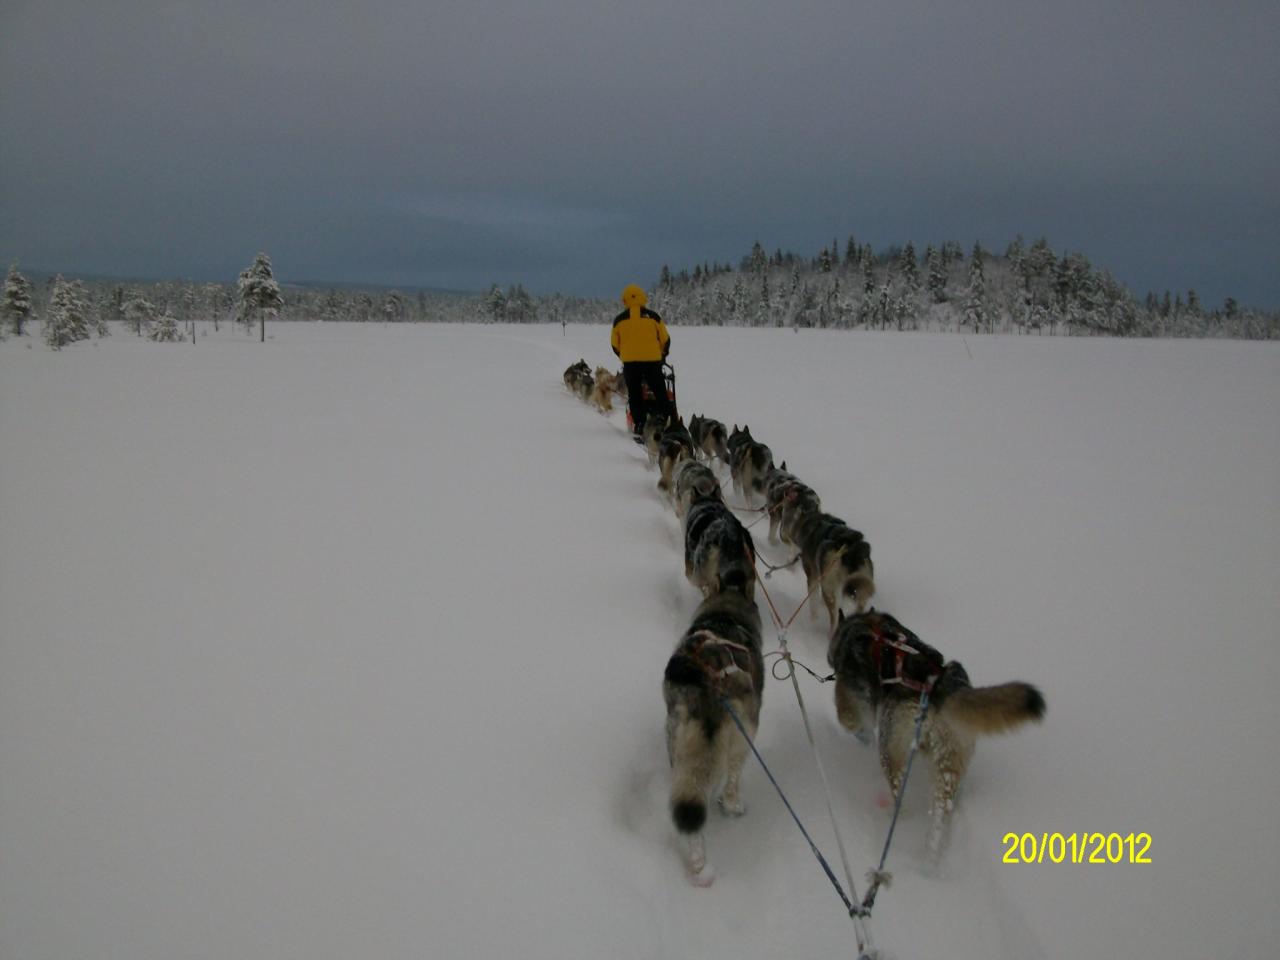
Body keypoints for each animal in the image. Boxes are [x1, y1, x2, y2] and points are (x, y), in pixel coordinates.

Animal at [829, 611, 1049, 855]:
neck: (864, 624)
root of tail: (937, 687)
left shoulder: (851, 703)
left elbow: (853, 724)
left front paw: (863, 737)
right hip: (950, 758)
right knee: (942, 808)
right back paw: (933, 850)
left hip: (892, 749)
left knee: (899, 793)